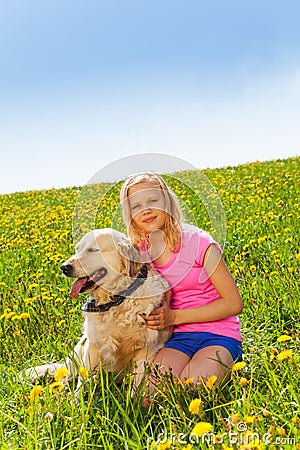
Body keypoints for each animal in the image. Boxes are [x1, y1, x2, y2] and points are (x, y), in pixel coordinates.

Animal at [23, 229, 171, 394]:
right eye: (77, 249)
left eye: (92, 250)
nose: (64, 267)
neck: (118, 299)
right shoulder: (93, 346)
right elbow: (82, 384)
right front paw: (78, 400)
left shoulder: (146, 349)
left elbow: (136, 388)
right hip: (79, 348)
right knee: (65, 375)